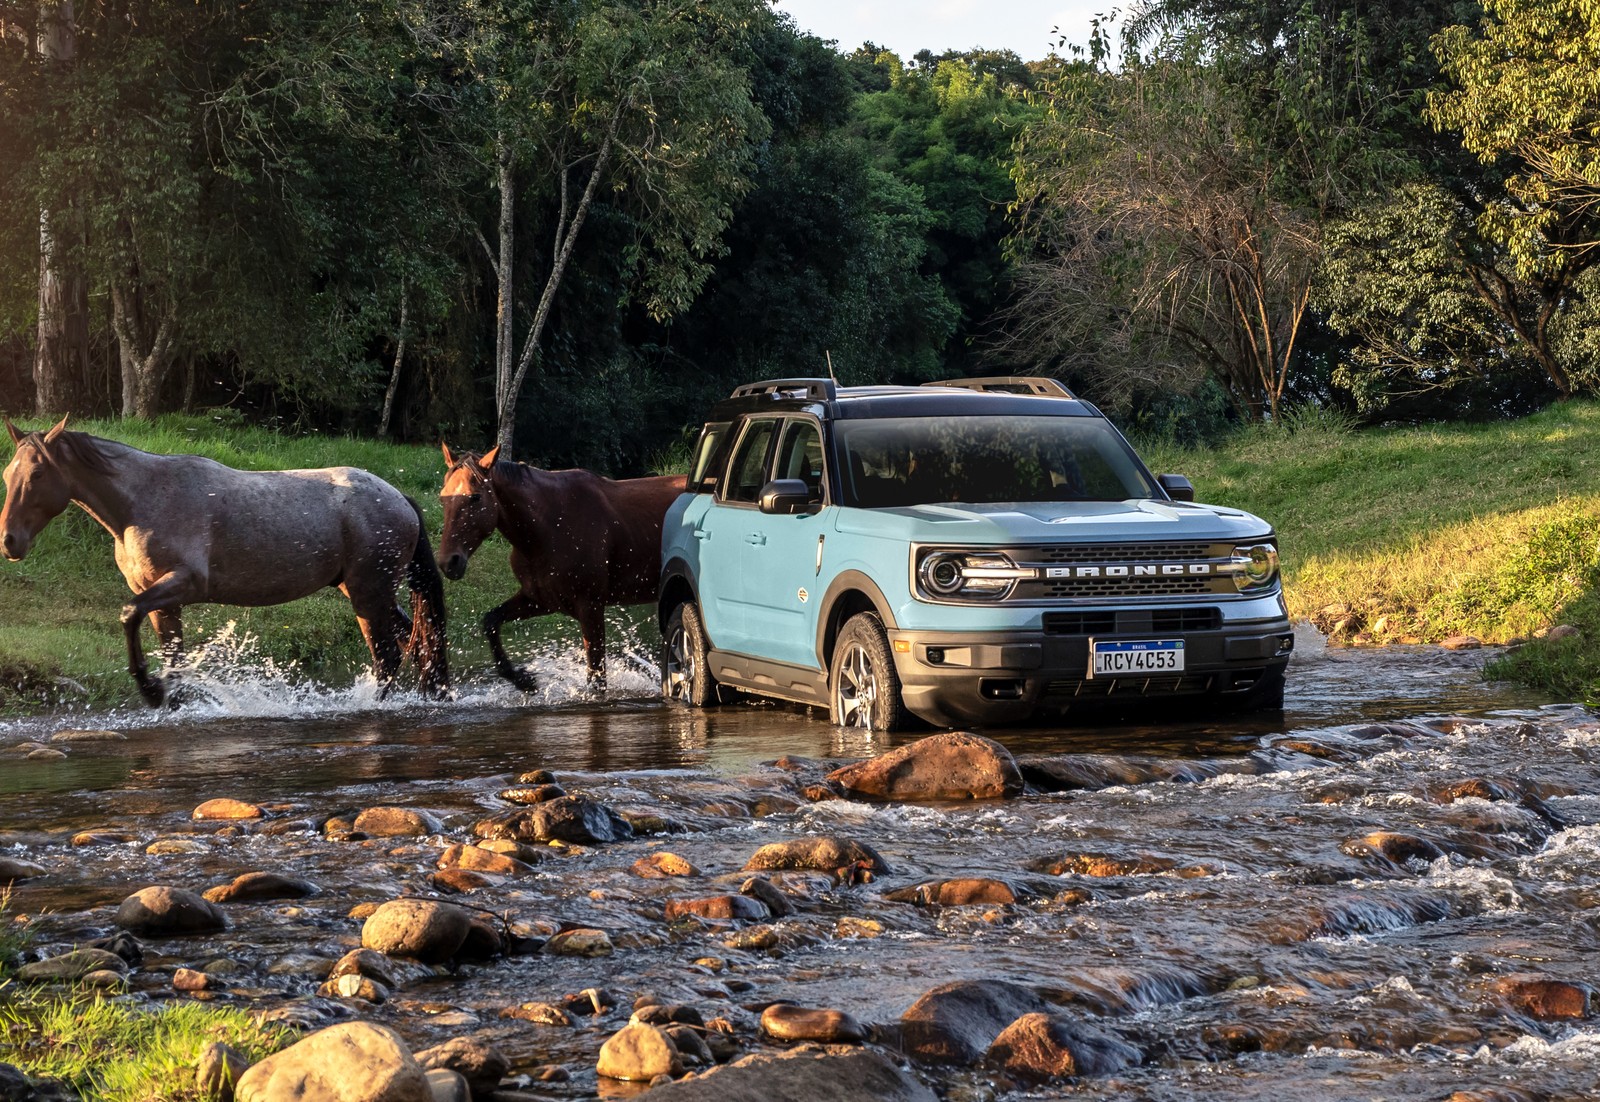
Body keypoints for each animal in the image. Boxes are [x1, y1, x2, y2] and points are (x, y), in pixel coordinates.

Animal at [1, 415, 444, 710]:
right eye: (9, 474)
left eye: (37, 474)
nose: (9, 541)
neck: (143, 501)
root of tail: (400, 499)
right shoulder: (161, 601)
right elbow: (173, 657)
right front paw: (170, 697)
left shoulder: (182, 583)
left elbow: (128, 616)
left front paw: (151, 690)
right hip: (367, 593)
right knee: (417, 642)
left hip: (369, 595)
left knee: (389, 656)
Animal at [438, 444, 688, 687]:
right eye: (442, 498)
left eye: (475, 497)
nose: (448, 562)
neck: (548, 527)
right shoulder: (540, 600)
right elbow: (491, 621)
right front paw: (522, 680)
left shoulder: (590, 608)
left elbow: (596, 680)